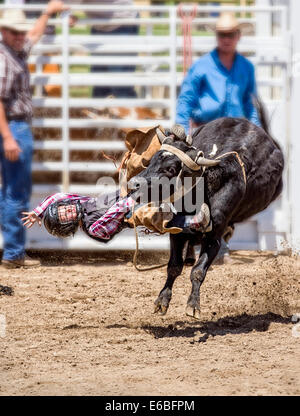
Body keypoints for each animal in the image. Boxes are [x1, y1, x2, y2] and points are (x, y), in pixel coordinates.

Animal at [128, 117, 284, 318]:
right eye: (153, 159)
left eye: (170, 169)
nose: (133, 184)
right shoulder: (176, 232)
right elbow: (174, 267)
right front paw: (162, 301)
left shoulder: (213, 239)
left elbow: (198, 272)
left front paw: (193, 305)